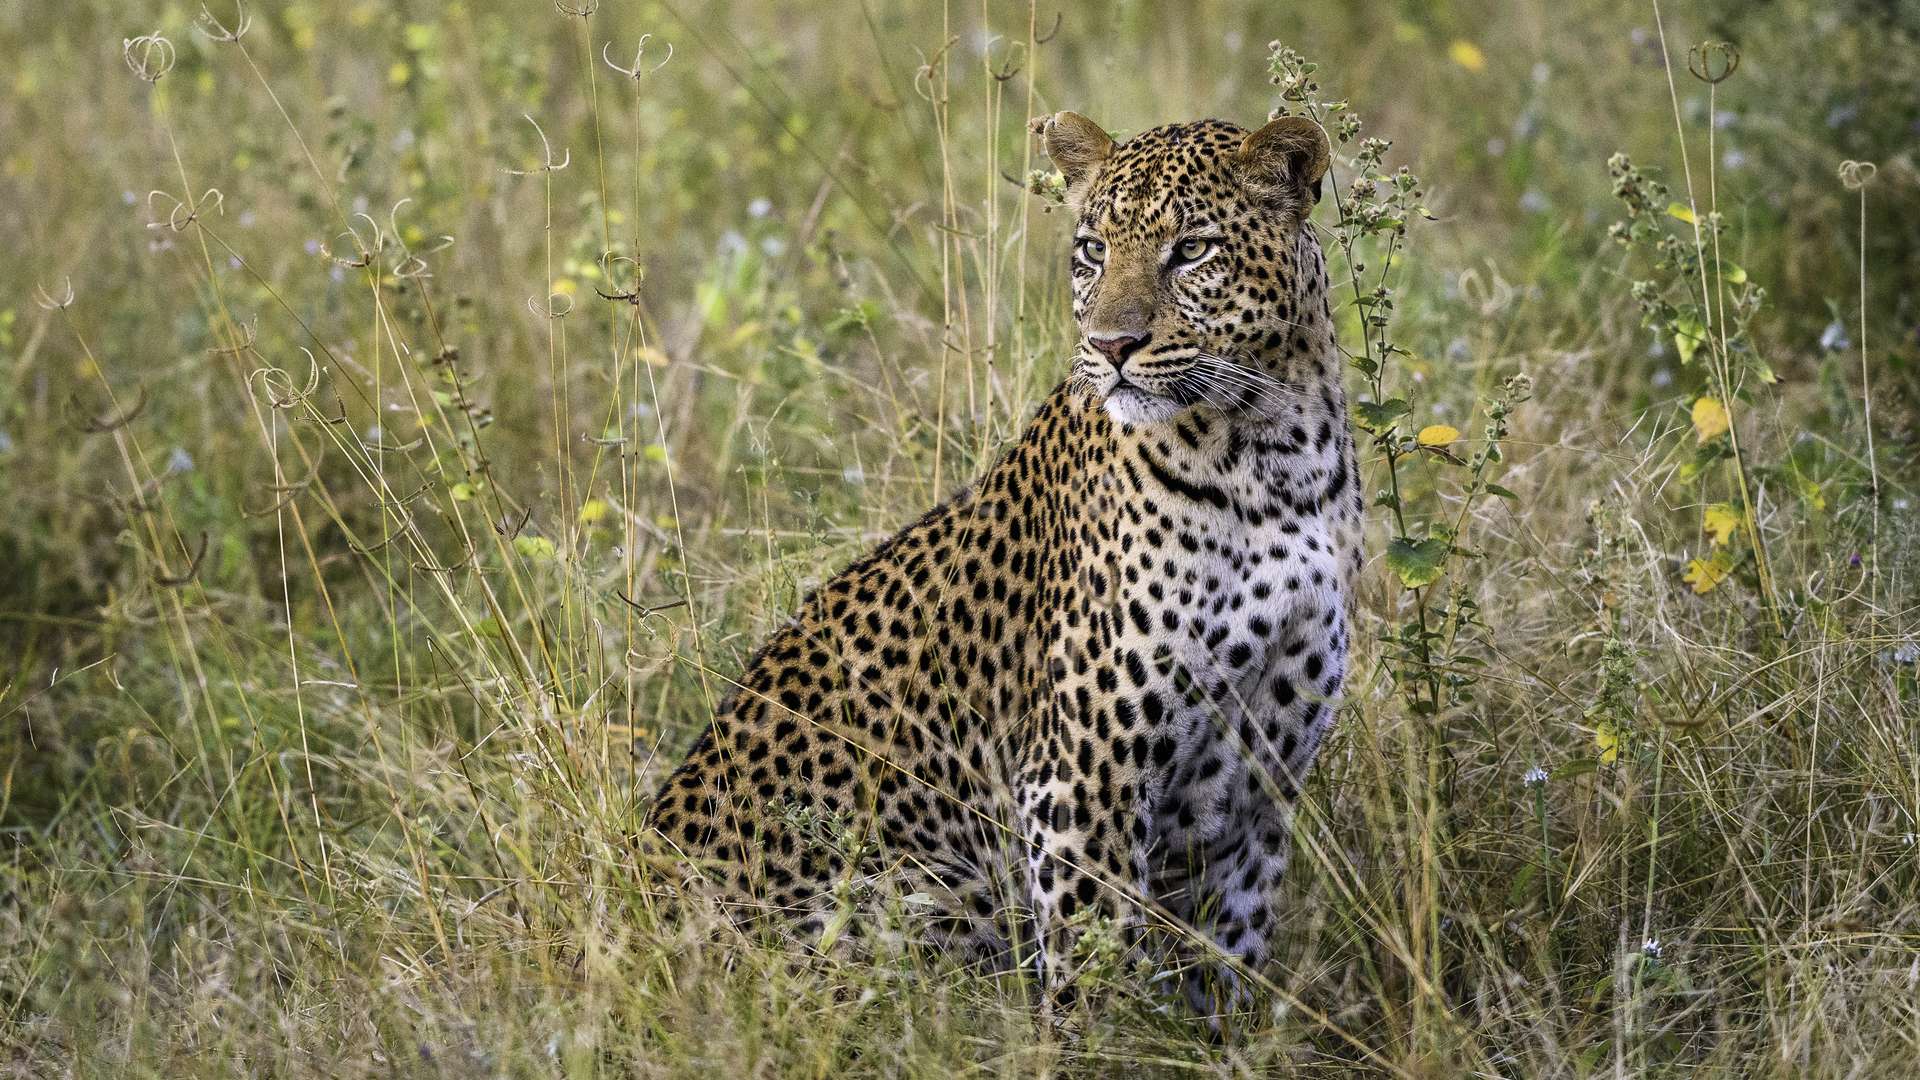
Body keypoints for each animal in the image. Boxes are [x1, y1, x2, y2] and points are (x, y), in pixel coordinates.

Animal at [644, 110, 1363, 1018]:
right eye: (1092, 249)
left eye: (1193, 249)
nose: (1112, 344)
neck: (1275, 455)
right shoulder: (1081, 776)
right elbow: (1097, 963)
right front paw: (1109, 1039)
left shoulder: (1262, 792)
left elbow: (1226, 962)